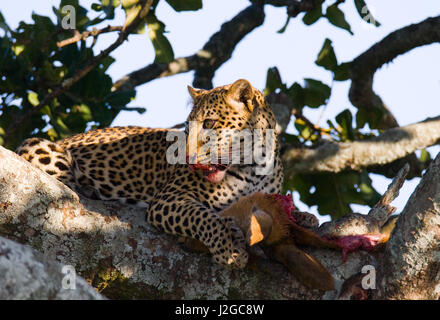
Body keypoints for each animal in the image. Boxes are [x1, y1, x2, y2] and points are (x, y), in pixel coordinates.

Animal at [15, 79, 284, 268]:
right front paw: (230, 247)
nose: (186, 158)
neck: (253, 167)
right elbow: (204, 217)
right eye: (187, 129)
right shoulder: (169, 199)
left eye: (210, 124)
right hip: (35, 145)